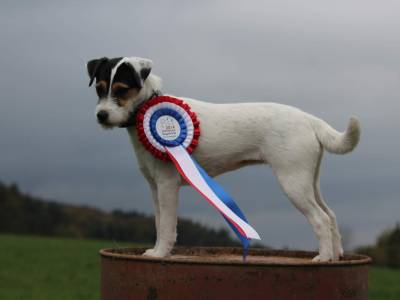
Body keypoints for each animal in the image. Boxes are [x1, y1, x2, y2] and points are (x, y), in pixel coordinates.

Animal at [86, 56, 360, 262]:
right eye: (99, 88)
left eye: (122, 90)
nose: (102, 115)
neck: (147, 107)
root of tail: (309, 119)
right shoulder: (155, 188)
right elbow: (158, 222)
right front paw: (155, 250)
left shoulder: (167, 186)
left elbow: (167, 226)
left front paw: (161, 254)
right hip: (309, 181)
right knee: (331, 215)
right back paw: (336, 256)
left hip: (293, 182)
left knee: (320, 219)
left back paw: (323, 258)